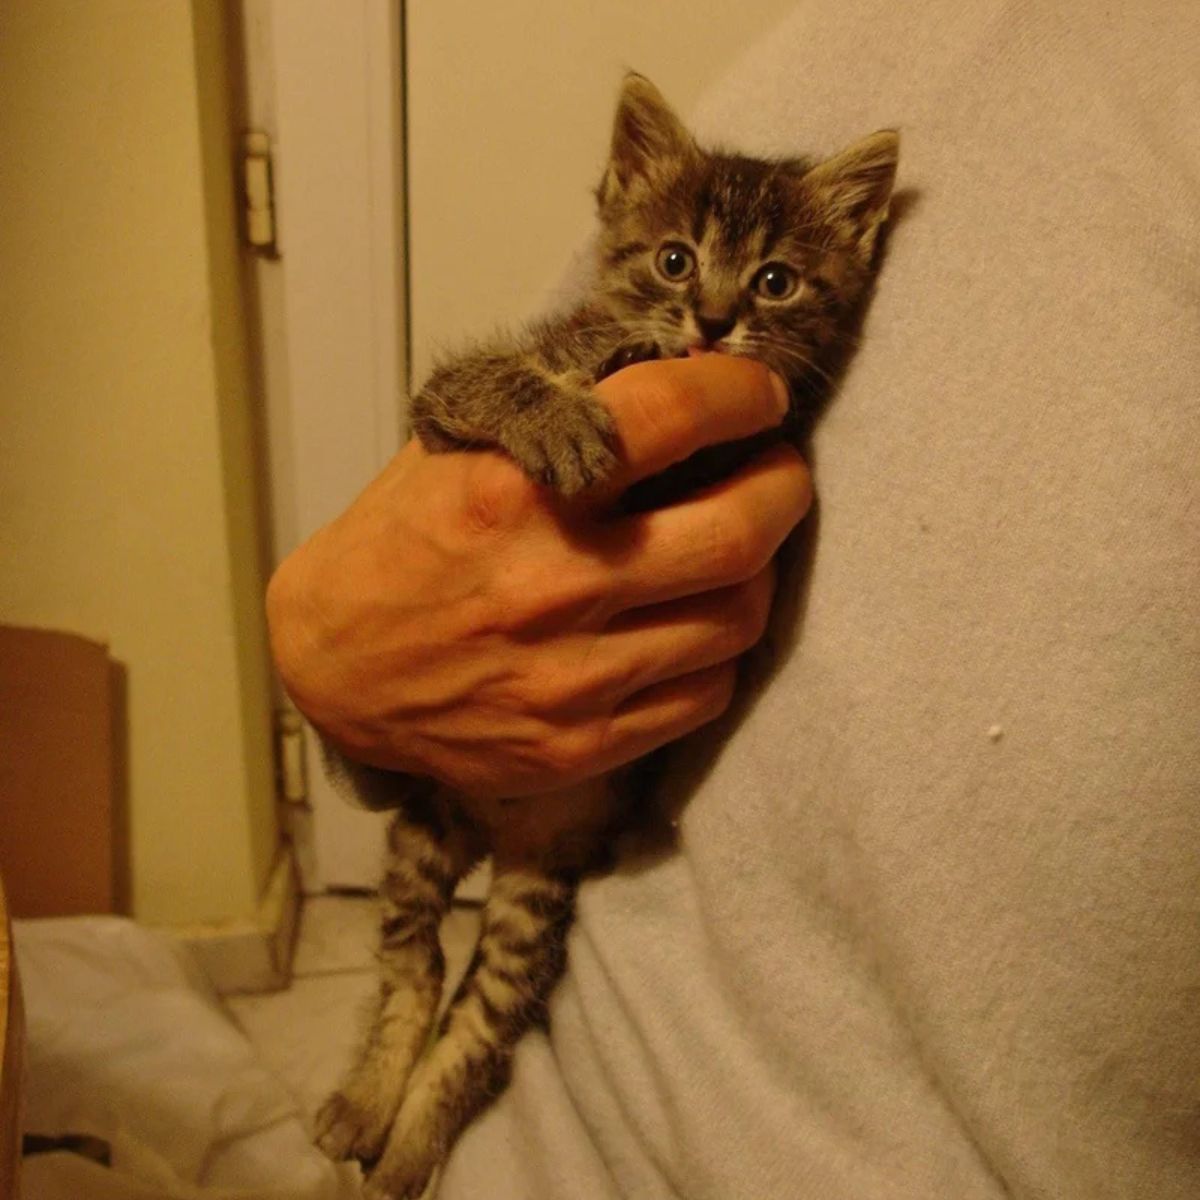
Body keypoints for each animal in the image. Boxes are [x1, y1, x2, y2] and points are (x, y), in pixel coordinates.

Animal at [314, 75, 897, 1200]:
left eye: (776, 281)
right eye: (674, 259)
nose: (710, 320)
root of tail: (491, 828)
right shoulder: (442, 408)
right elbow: (511, 376)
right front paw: (571, 411)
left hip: (536, 898)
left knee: (476, 1024)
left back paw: (405, 1144)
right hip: (420, 836)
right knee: (412, 965)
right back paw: (368, 1100)